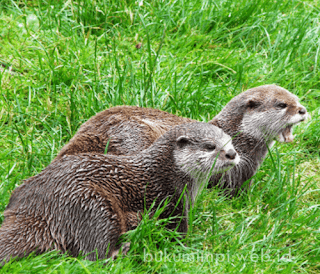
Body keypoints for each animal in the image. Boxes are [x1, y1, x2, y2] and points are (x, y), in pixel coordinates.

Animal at [0, 122, 239, 264]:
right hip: (94, 204)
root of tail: (38, 208)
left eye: (230, 141)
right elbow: (178, 234)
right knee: (94, 254)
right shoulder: (171, 204)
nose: (231, 154)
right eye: (210, 146)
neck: (164, 173)